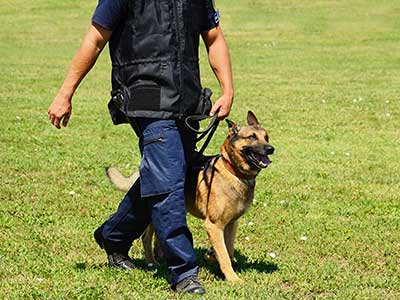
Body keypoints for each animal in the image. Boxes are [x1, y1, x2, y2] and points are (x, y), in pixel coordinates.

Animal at [106, 111, 276, 282]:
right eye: (252, 137)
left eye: (266, 137)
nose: (271, 149)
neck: (234, 171)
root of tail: (140, 173)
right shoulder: (214, 225)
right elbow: (224, 254)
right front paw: (233, 278)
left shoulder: (231, 224)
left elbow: (229, 250)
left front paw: (215, 259)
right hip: (150, 214)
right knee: (146, 237)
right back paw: (151, 262)